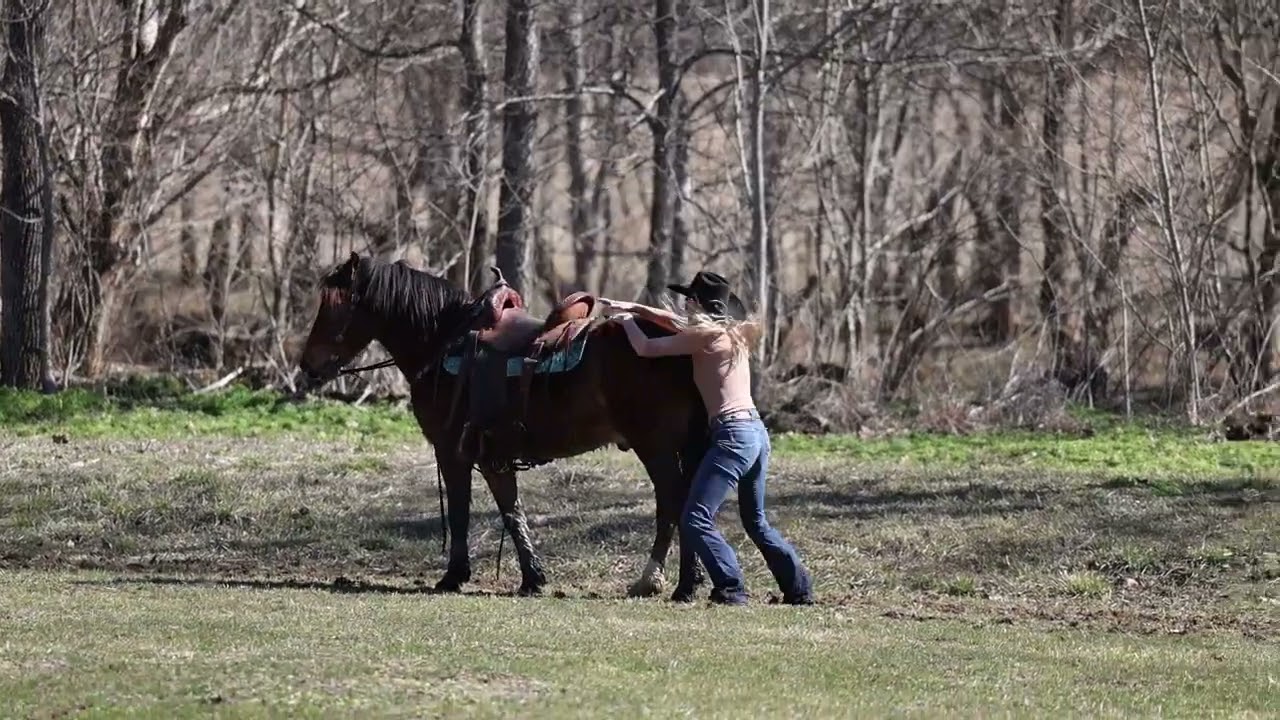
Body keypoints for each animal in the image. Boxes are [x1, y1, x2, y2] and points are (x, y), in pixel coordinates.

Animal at [296, 252, 708, 599]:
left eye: (333, 307)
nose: (307, 365)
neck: (443, 343)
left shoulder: (452, 452)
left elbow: (461, 511)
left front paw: (454, 576)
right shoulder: (493, 457)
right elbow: (512, 511)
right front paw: (532, 578)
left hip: (654, 446)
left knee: (672, 503)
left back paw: (664, 581)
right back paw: (690, 581)